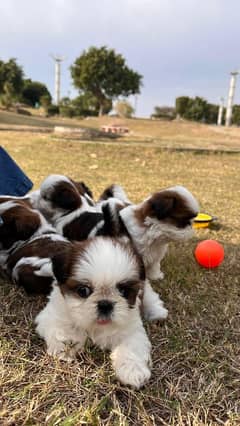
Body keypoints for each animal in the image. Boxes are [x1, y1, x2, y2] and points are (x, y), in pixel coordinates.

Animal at [35, 236, 152, 390]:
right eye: (83, 291)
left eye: (124, 291)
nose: (105, 304)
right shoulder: (51, 315)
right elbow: (60, 330)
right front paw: (67, 346)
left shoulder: (132, 327)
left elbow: (132, 345)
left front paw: (132, 370)